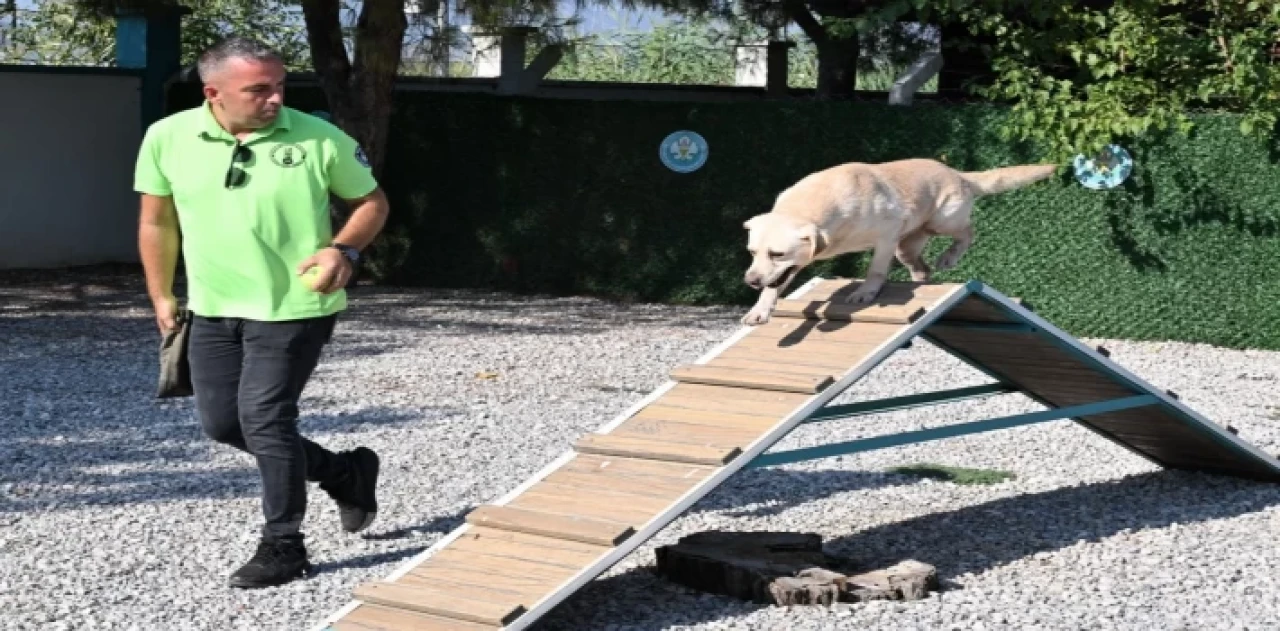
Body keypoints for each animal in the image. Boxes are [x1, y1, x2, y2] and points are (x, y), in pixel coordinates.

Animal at [742, 157, 1059, 325]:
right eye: (752, 252)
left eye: (778, 254)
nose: (750, 281)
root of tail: (957, 173)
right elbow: (773, 288)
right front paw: (759, 309)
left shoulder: (886, 235)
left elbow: (875, 270)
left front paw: (865, 293)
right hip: (907, 248)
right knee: (922, 269)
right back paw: (922, 285)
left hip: (942, 221)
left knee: (968, 232)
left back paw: (949, 257)